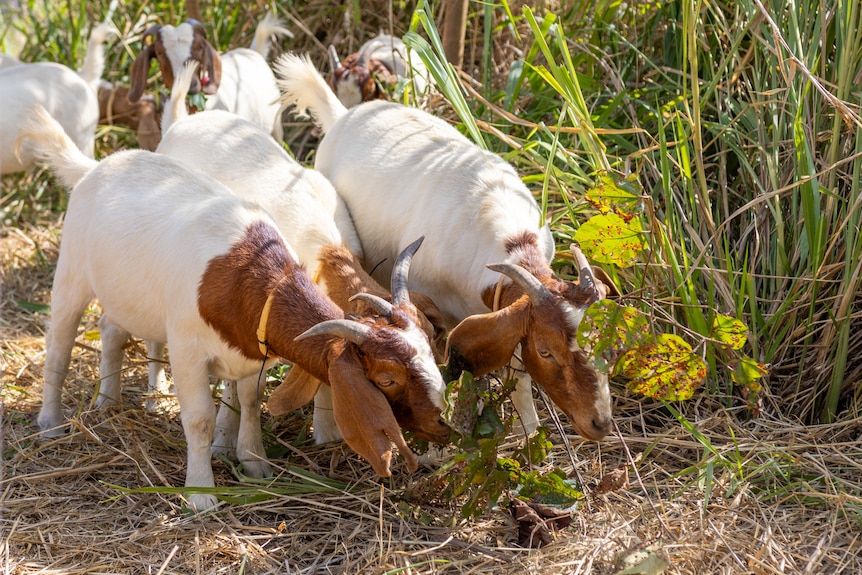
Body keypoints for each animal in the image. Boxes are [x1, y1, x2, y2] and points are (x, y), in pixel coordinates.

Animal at [21, 104, 452, 512]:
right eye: (386, 378)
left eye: (432, 347)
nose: (442, 425)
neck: (248, 273)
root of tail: (99, 166)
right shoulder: (187, 350)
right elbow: (199, 418)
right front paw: (200, 493)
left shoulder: (250, 349)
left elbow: (249, 401)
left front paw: (254, 461)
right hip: (71, 274)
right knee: (59, 344)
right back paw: (51, 423)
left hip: (127, 293)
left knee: (112, 328)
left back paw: (110, 401)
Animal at [157, 64, 452, 450]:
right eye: (388, 378)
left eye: (431, 340)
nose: (441, 421)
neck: (325, 252)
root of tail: (183, 121)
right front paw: (227, 435)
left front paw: (326, 432)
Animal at [276, 54, 620, 440]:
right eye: (546, 351)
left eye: (607, 347)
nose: (599, 423)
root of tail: (342, 115)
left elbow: (515, 368)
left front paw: (527, 430)